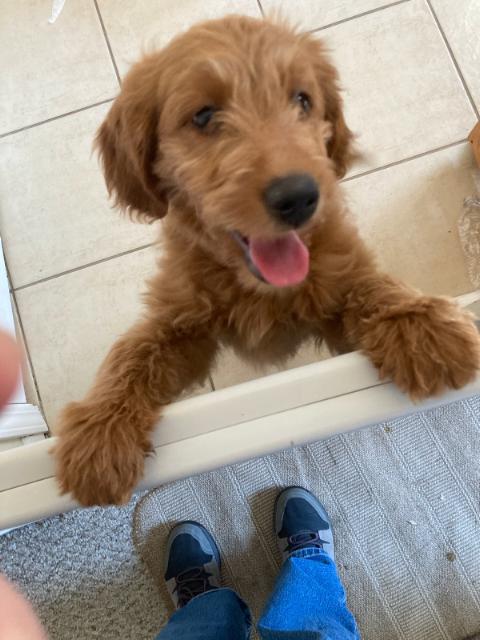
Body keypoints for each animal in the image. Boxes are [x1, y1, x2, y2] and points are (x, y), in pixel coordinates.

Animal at [54, 15, 480, 506]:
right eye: (204, 116)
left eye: (303, 100)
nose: (298, 197)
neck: (256, 287)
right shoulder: (181, 321)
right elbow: (134, 351)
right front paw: (100, 432)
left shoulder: (337, 288)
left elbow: (369, 286)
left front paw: (423, 326)